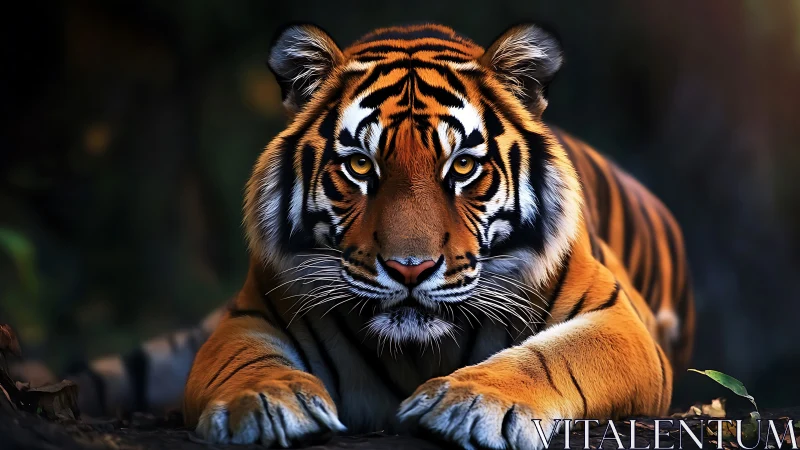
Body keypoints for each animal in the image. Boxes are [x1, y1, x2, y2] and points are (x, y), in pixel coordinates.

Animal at [53, 22, 694, 450]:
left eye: (463, 167)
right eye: (361, 166)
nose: (410, 268)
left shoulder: (619, 320)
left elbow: (552, 357)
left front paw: (470, 402)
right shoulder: (249, 317)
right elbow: (245, 362)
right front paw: (260, 404)